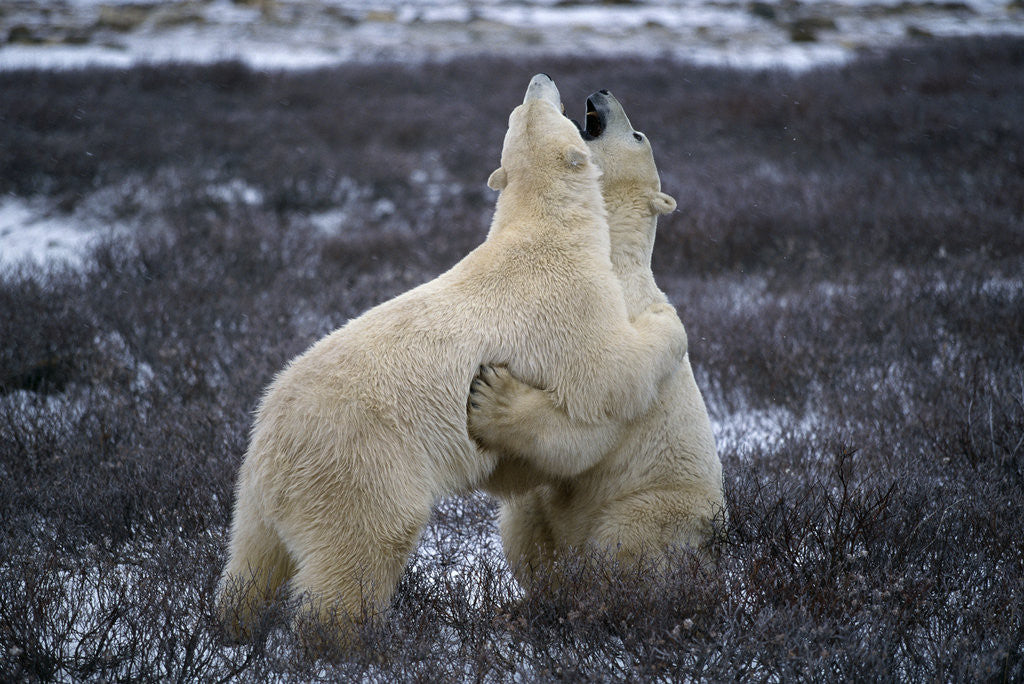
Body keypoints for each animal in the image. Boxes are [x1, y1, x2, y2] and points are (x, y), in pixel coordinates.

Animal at [216, 75, 688, 644]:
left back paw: (232, 625)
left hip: (254, 491)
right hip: (359, 468)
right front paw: (667, 323)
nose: (541, 79)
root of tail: (273, 444)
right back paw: (348, 641)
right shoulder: (569, 303)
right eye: (540, 109)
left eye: (519, 110)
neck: (542, 227)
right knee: (359, 556)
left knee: (251, 559)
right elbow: (607, 376)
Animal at [468, 89, 726, 590]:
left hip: (655, 504)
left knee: (624, 540)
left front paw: (495, 398)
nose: (602, 93)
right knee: (524, 521)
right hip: (547, 514)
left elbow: (594, 412)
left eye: (638, 134)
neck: (610, 254)